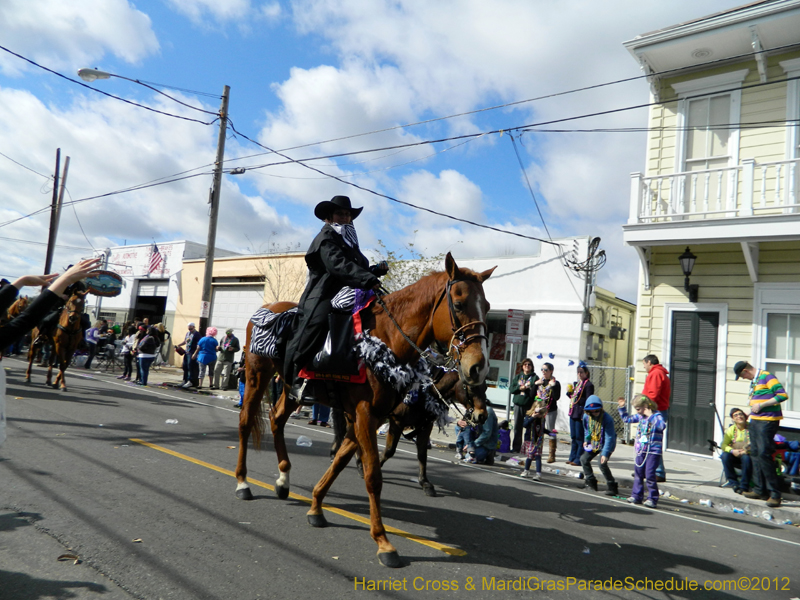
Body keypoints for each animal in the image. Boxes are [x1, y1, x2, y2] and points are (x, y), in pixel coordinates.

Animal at [234, 253, 490, 568]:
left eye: (487, 307)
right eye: (459, 303)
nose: (478, 367)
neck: (385, 342)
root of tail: (266, 308)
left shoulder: (371, 417)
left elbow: (341, 460)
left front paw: (316, 507)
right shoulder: (365, 415)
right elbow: (372, 476)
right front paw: (384, 542)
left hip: (292, 388)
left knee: (276, 419)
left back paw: (283, 479)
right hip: (256, 375)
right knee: (246, 422)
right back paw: (243, 483)